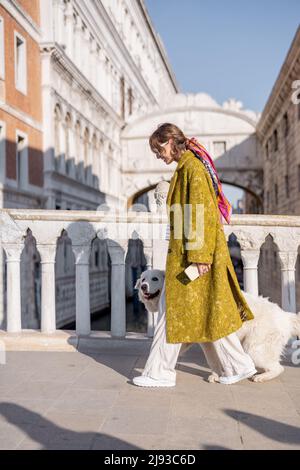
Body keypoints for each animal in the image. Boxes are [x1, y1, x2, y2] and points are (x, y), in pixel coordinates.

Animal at [135, 268, 298, 382]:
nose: (143, 286)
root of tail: (285, 316)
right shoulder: (206, 342)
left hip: (254, 347)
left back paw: (260, 377)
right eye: (143, 279)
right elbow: (213, 359)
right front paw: (218, 375)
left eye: (155, 279)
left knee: (278, 368)